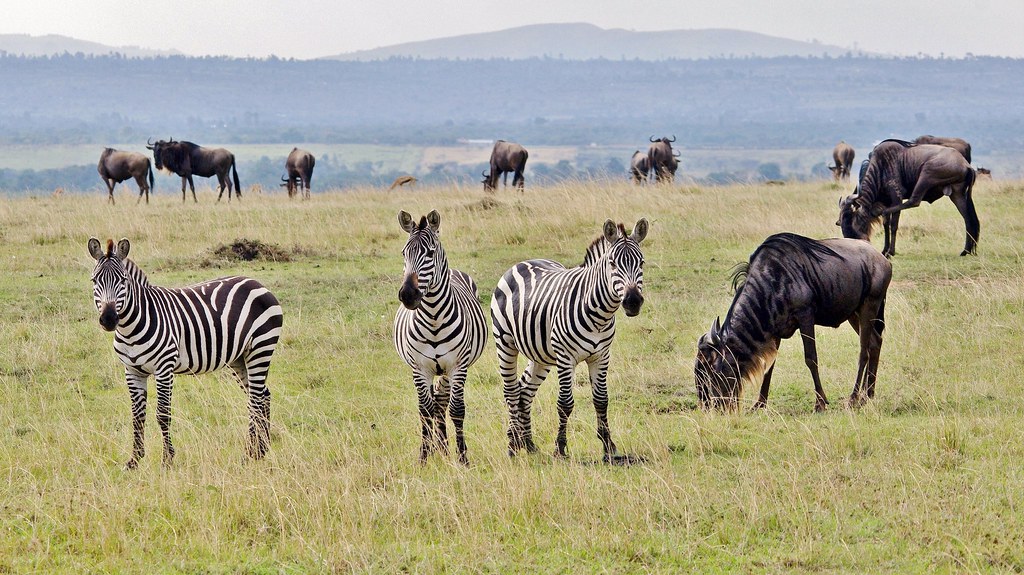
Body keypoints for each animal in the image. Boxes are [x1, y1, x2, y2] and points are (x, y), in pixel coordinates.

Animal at [84, 236, 282, 466]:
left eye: (123, 280)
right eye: (94, 281)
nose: (108, 319)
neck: (130, 328)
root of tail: (256, 283)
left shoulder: (164, 368)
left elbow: (162, 414)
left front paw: (167, 460)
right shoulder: (132, 371)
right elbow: (137, 415)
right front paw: (134, 460)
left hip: (260, 348)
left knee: (256, 400)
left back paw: (249, 453)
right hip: (239, 358)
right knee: (262, 396)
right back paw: (261, 450)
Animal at [391, 207, 487, 462]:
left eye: (430, 253)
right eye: (404, 253)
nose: (408, 295)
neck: (434, 316)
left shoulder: (458, 365)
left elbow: (457, 409)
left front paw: (462, 458)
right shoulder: (419, 367)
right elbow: (424, 410)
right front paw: (424, 457)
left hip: (446, 370)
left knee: (442, 402)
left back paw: (444, 447)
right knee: (435, 403)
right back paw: (439, 448)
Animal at [489, 216, 647, 462]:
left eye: (641, 263)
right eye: (612, 264)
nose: (632, 301)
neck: (599, 314)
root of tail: (522, 263)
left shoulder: (601, 356)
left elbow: (601, 400)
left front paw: (608, 446)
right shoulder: (565, 357)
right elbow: (565, 403)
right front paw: (560, 447)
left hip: (540, 355)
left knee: (524, 391)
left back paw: (527, 443)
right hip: (505, 343)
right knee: (511, 391)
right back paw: (512, 445)